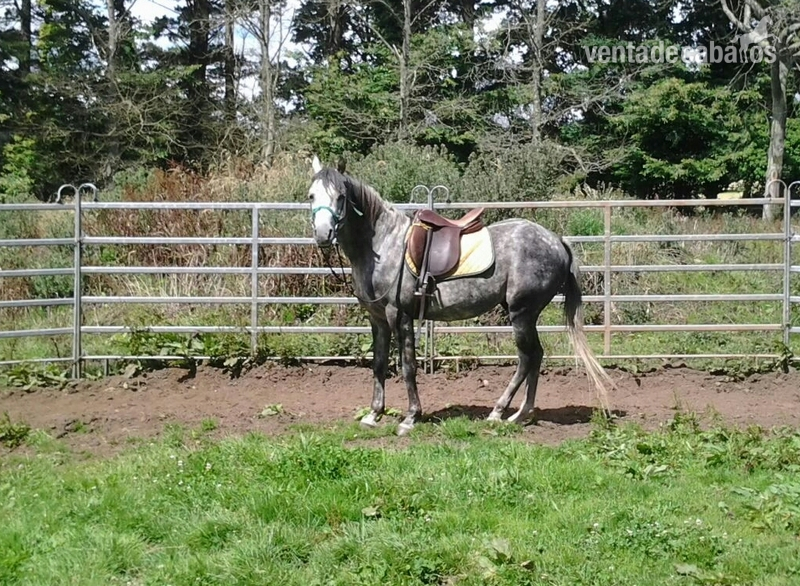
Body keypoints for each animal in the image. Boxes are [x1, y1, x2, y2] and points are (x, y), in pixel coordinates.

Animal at [307, 155, 614, 436]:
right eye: (311, 195)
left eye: (341, 196)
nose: (323, 234)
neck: (383, 244)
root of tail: (557, 241)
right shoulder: (377, 318)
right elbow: (379, 364)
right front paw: (373, 414)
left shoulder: (400, 315)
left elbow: (408, 365)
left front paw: (410, 418)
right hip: (527, 315)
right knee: (536, 356)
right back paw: (521, 415)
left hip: (521, 314)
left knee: (527, 357)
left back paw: (499, 412)